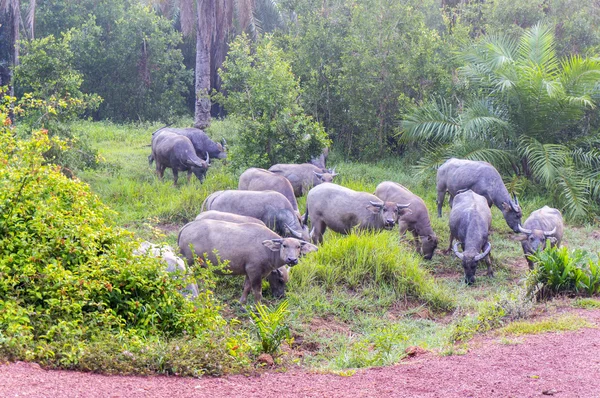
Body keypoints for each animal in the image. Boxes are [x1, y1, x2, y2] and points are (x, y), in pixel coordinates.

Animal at [178, 219, 318, 304]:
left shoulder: (248, 271)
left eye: (298, 247)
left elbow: (246, 287)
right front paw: (259, 307)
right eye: (284, 245)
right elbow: (257, 292)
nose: (292, 259)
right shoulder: (254, 271)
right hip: (190, 263)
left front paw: (242, 302)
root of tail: (186, 227)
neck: (267, 249)